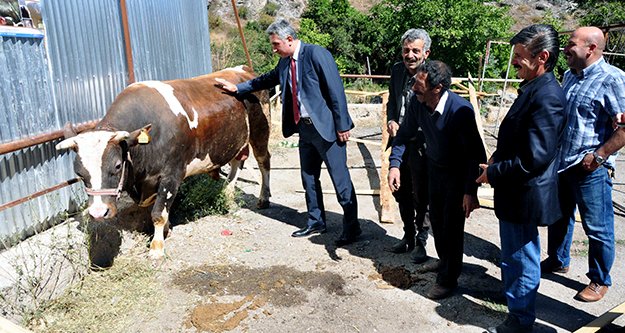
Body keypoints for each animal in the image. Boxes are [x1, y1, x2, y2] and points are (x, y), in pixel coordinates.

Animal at [54, 66, 268, 260]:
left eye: (117, 166)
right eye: (79, 173)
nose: (98, 212)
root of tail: (243, 69)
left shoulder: (172, 175)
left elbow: (158, 212)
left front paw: (156, 248)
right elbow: (159, 208)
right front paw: (166, 231)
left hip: (260, 130)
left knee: (264, 161)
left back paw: (263, 198)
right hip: (235, 140)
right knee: (236, 164)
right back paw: (228, 196)